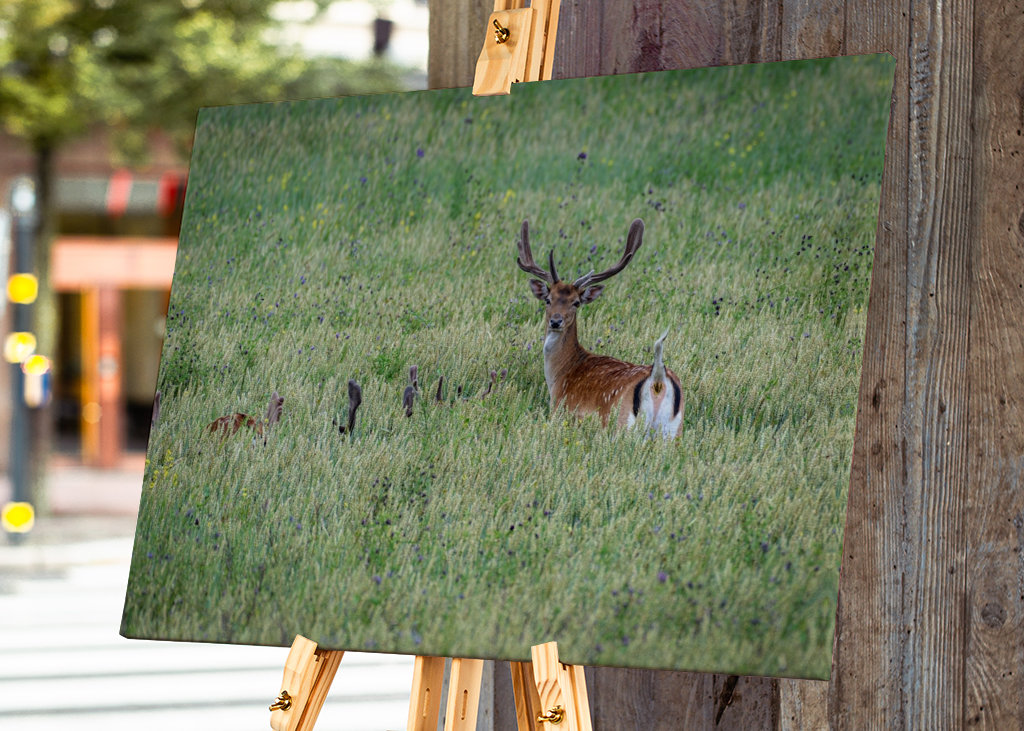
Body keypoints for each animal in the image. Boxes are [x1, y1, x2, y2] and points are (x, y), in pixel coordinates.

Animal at [516, 218, 684, 438]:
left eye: (576, 302)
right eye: (548, 299)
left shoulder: (558, 410)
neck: (560, 374)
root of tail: (658, 381)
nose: (556, 321)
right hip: (673, 431)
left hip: (622, 424)